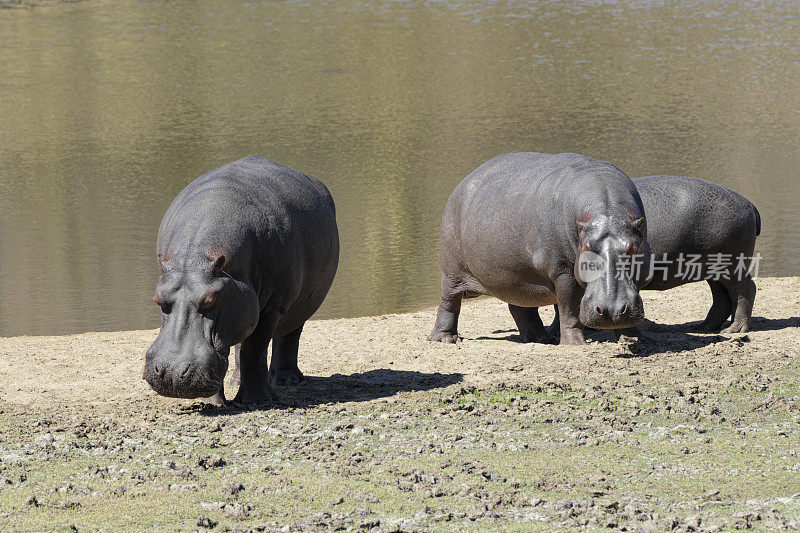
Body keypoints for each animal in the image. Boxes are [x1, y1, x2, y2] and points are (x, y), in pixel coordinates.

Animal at [144, 156, 338, 406]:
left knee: (289, 336)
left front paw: (256, 401)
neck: (195, 260)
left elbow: (254, 350)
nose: (172, 375)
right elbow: (238, 348)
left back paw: (286, 381)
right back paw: (235, 382)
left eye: (210, 300)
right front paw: (212, 402)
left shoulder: (272, 307)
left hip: (299, 303)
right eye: (157, 299)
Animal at [428, 152, 652, 348]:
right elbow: (569, 307)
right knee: (449, 302)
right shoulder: (563, 270)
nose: (611, 311)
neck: (608, 211)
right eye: (587, 248)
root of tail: (464, 181)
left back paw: (540, 338)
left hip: (516, 274)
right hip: (452, 270)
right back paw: (445, 339)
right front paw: (574, 344)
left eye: (633, 248)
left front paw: (634, 339)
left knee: (521, 308)